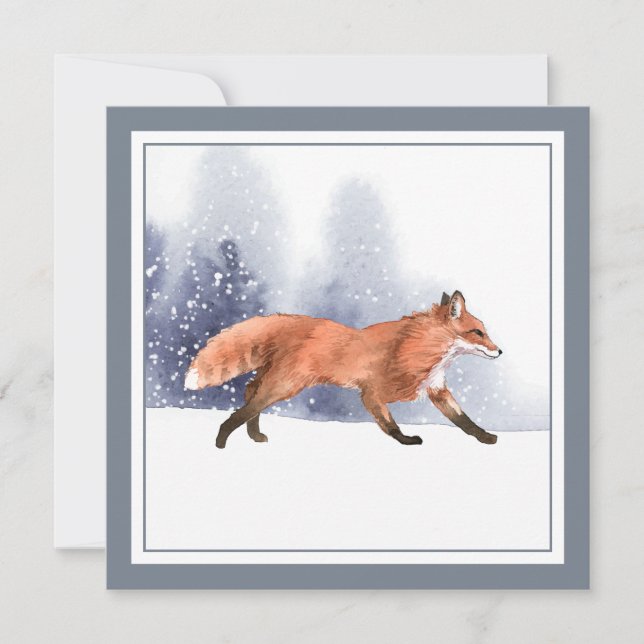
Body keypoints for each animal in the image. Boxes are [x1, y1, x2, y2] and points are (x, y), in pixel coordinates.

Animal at [184, 290, 502, 448]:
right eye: (478, 332)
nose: (500, 351)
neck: (422, 346)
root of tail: (295, 321)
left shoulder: (437, 389)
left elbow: (464, 421)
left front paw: (486, 438)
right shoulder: (373, 391)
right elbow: (390, 425)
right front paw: (406, 441)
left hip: (276, 380)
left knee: (249, 391)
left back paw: (254, 436)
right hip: (285, 385)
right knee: (249, 404)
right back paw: (221, 439)